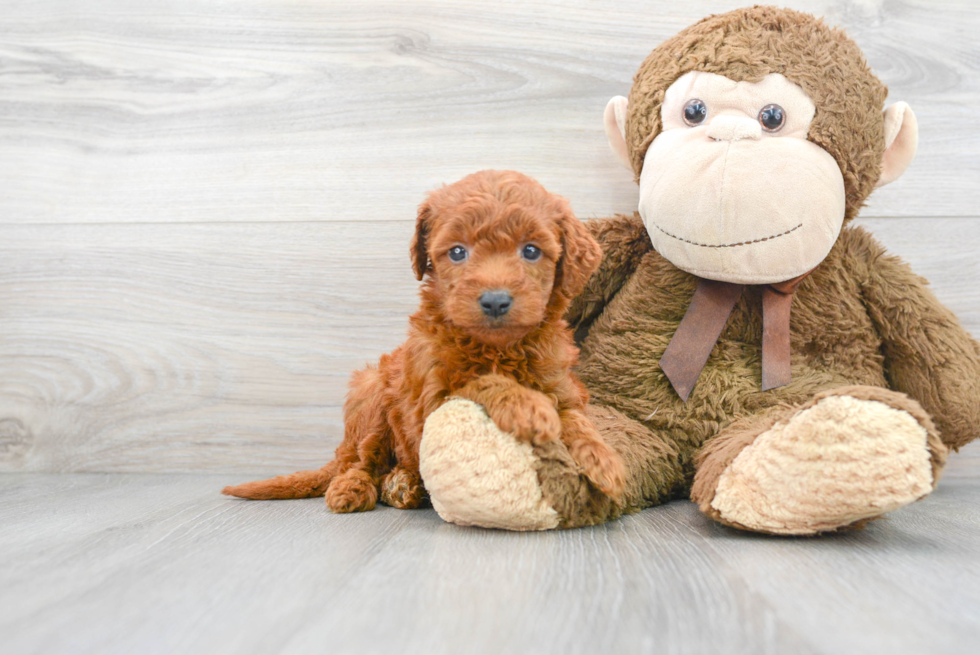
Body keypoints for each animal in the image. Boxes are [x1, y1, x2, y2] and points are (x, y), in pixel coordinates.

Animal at [222, 170, 624, 512]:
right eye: (458, 251)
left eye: (531, 250)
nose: (495, 300)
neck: (496, 348)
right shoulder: (430, 402)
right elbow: (480, 381)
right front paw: (527, 406)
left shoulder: (560, 384)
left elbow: (575, 418)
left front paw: (604, 460)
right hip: (371, 393)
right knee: (360, 460)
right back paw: (354, 488)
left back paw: (404, 484)